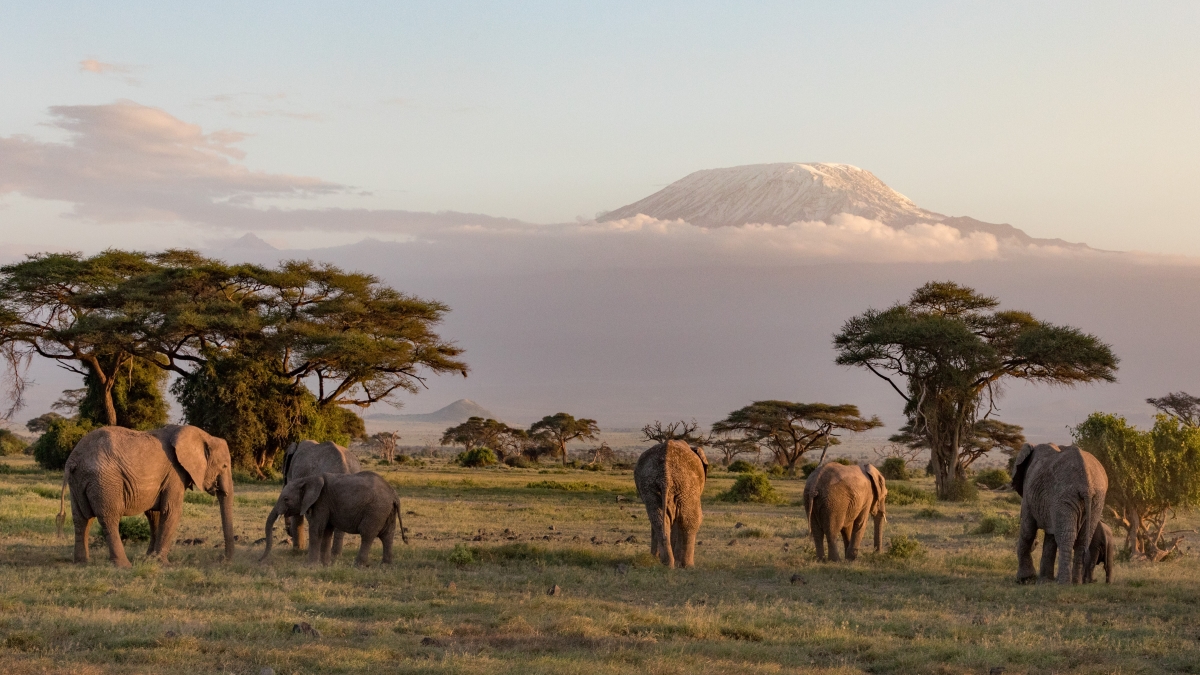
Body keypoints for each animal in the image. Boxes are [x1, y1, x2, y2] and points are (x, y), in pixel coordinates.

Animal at [56, 425, 234, 562]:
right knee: (109, 518)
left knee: (81, 519)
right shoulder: (175, 473)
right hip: (104, 480)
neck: (204, 436)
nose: (223, 559)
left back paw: (82, 562)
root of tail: (73, 460)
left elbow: (155, 514)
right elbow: (171, 511)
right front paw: (162, 563)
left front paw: (149, 558)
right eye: (224, 466)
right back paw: (123, 565)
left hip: (79, 482)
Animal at [260, 468, 405, 562]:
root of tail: (394, 495)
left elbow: (317, 529)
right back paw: (386, 565)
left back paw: (358, 565)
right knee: (387, 536)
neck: (307, 479)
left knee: (367, 534)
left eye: (286, 499)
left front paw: (310, 566)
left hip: (375, 510)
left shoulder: (321, 502)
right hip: (387, 511)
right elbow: (326, 531)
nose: (260, 560)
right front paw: (325, 565)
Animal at [1012, 444, 1104, 581]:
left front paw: (1025, 579)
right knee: (1082, 540)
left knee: (1065, 536)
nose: (1036, 543)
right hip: (1096, 500)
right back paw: (1075, 582)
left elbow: (1028, 530)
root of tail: (1086, 484)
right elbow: (1050, 537)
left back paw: (1063, 582)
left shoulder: (1029, 492)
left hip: (1064, 495)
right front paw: (1044, 581)